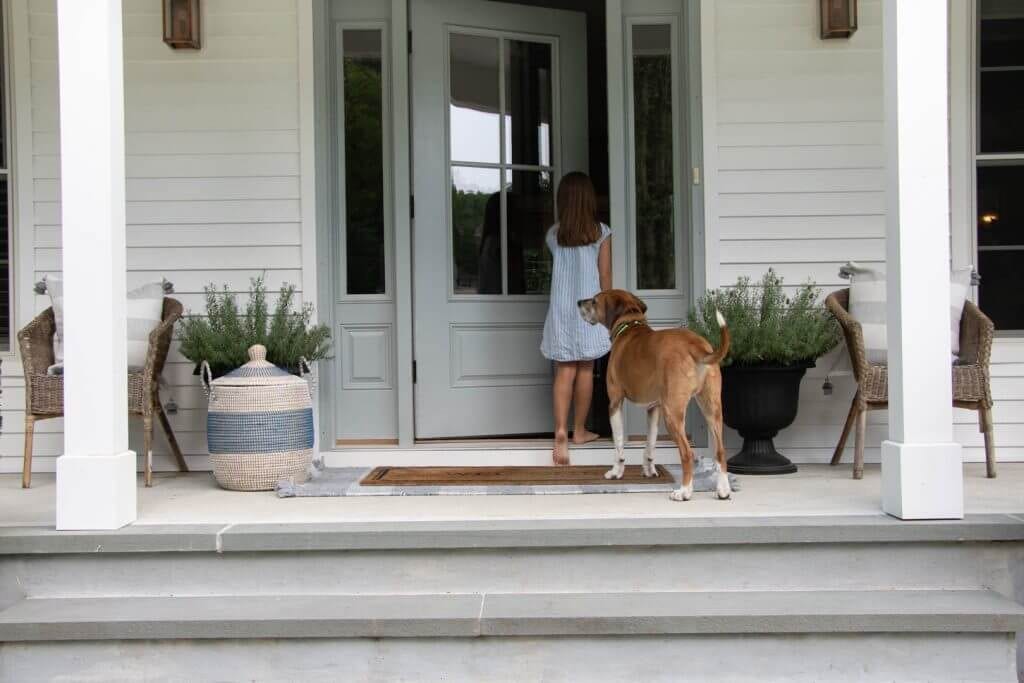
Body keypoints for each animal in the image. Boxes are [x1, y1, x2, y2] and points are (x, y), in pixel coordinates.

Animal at [581, 290, 733, 501]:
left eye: (594, 301)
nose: (579, 302)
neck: (629, 325)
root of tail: (695, 345)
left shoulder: (615, 403)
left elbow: (619, 445)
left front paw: (616, 472)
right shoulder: (654, 408)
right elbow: (650, 443)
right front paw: (649, 470)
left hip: (673, 413)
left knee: (687, 453)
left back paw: (684, 492)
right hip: (712, 409)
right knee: (720, 450)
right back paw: (723, 490)